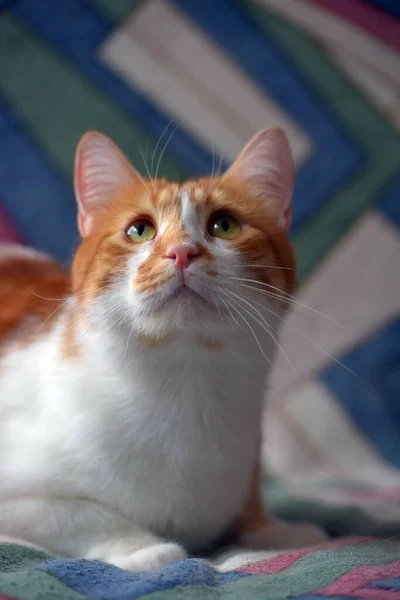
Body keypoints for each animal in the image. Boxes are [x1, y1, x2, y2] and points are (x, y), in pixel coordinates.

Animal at [0, 127, 324, 572]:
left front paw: (276, 530)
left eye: (225, 225)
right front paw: (144, 548)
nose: (182, 252)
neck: (184, 387)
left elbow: (247, 506)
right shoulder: (19, 495)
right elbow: (81, 513)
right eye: (139, 230)